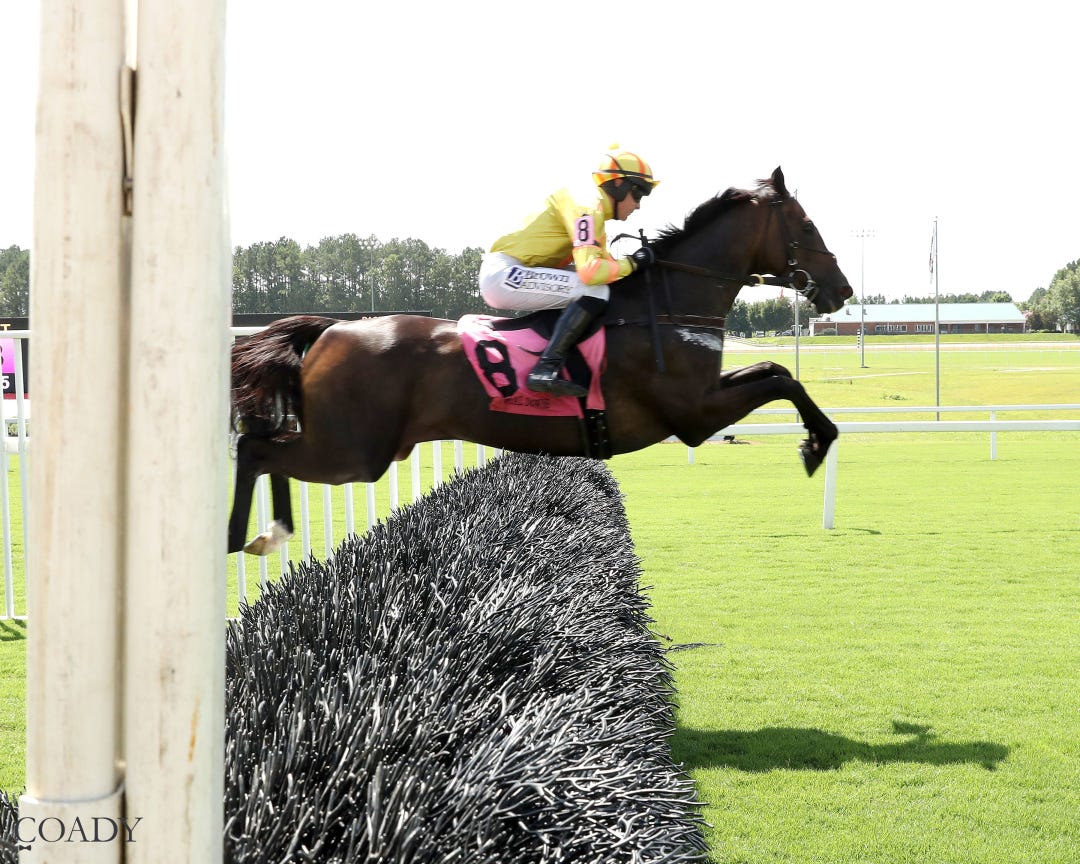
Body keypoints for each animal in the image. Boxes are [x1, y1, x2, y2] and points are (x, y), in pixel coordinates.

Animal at [228, 166, 853, 555]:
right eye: (807, 224)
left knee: (266, 449)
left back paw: (272, 532)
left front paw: (814, 439)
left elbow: (777, 372)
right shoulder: (693, 415)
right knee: (255, 448)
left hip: (353, 447)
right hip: (354, 453)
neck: (670, 303)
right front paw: (816, 443)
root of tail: (332, 328)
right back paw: (242, 535)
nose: (842, 288)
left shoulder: (703, 400)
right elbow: (781, 377)